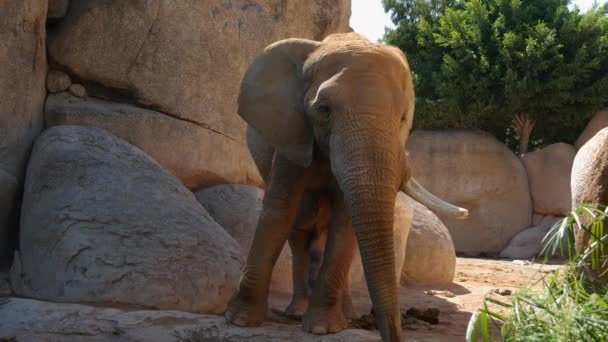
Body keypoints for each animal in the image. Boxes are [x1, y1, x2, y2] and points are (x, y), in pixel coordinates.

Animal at [226, 31, 468, 340]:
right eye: (324, 110)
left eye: (403, 117)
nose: (392, 334)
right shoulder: (293, 133)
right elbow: (279, 211)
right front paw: (239, 320)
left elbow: (344, 223)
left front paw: (323, 328)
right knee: (299, 235)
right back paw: (297, 312)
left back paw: (347, 315)